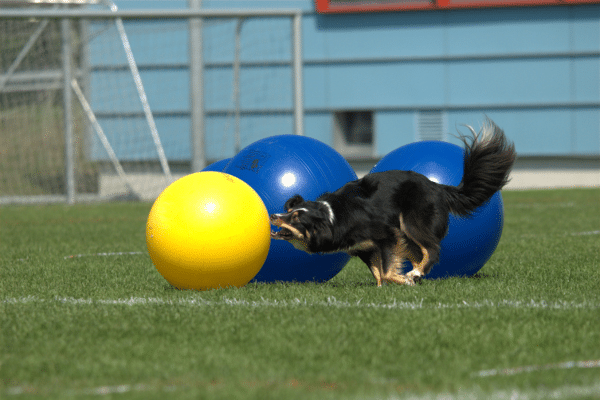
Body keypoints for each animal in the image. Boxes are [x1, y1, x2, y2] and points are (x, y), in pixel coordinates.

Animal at [268, 117, 516, 286]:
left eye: (296, 218)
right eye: (290, 210)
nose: (273, 215)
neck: (332, 217)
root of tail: (437, 187)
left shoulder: (386, 234)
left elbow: (386, 271)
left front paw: (401, 280)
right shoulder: (365, 248)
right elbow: (379, 273)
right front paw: (385, 288)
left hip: (411, 222)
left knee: (432, 250)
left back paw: (414, 274)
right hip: (408, 234)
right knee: (422, 254)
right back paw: (416, 276)